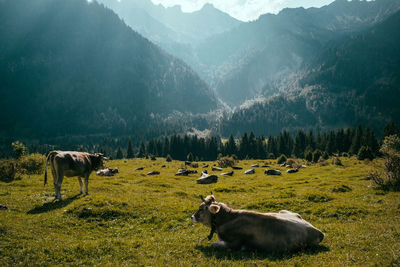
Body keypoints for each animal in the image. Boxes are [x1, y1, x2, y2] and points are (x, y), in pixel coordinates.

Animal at [191, 195, 324, 253]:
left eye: (201, 209)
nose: (192, 216)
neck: (227, 219)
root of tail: (318, 231)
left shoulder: (234, 243)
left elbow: (214, 244)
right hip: (284, 211)